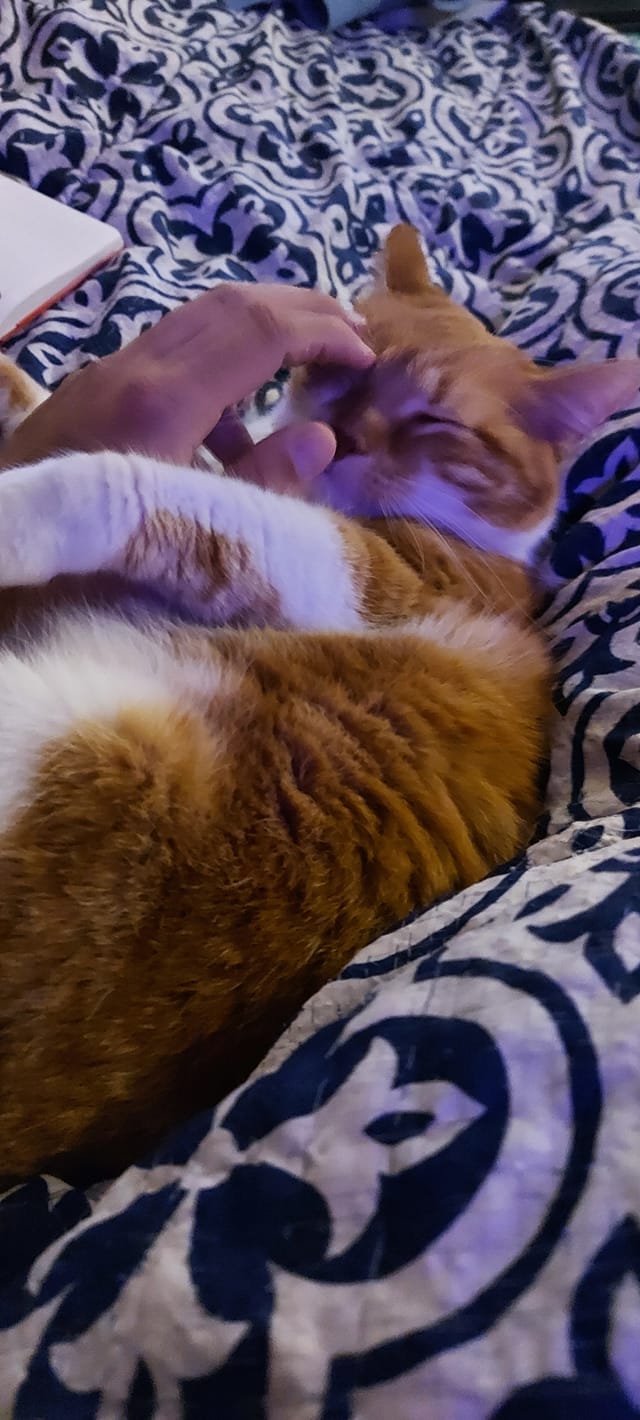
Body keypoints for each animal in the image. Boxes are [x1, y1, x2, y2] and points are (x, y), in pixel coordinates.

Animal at [0, 227, 635, 1181]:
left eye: (435, 423)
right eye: (340, 373)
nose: (336, 435)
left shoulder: (360, 577)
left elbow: (124, 482)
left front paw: (20, 503)